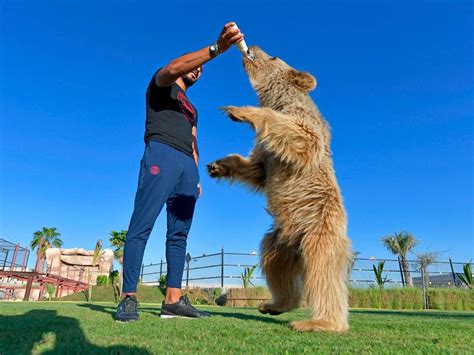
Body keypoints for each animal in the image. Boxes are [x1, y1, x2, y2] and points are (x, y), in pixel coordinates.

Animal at [207, 46, 352, 332]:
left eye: (274, 57)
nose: (252, 46)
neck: (279, 97)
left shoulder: (301, 123)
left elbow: (299, 134)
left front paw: (238, 110)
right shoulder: (268, 157)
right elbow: (257, 170)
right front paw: (219, 165)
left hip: (319, 230)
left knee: (323, 272)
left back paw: (320, 322)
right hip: (278, 241)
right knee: (275, 266)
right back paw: (275, 304)